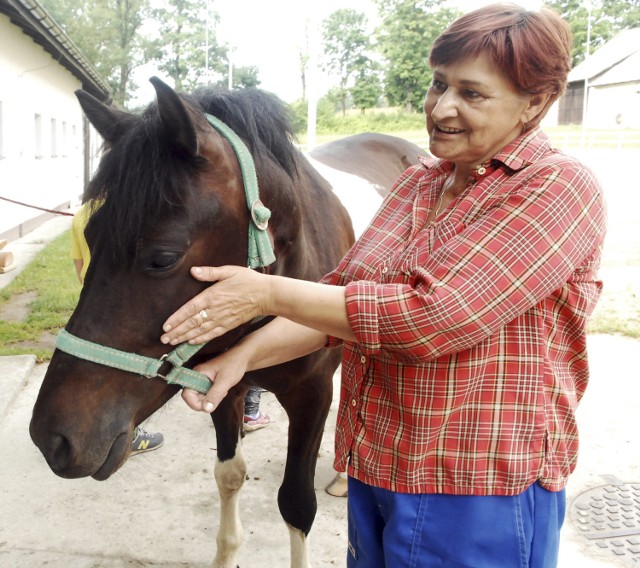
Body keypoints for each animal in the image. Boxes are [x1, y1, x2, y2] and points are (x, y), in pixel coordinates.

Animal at [31, 76, 424, 568]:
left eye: (162, 258)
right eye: (89, 236)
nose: (52, 438)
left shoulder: (313, 394)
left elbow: (296, 503)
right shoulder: (224, 382)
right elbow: (229, 476)